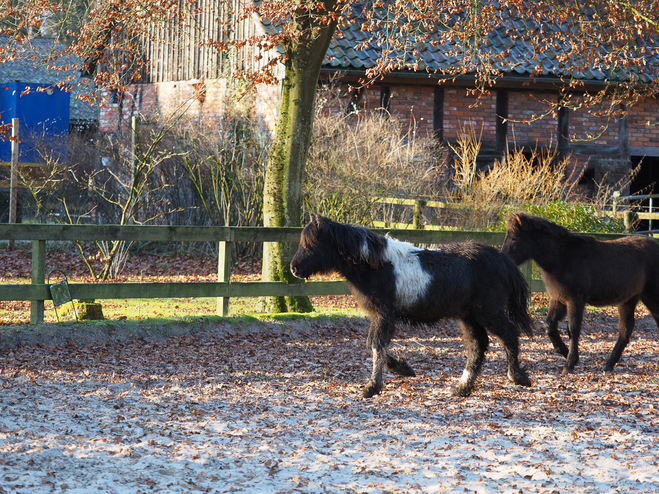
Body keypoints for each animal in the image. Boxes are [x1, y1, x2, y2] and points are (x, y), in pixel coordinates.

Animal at [502, 213, 659, 374]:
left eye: (514, 238)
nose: (503, 259)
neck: (563, 258)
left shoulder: (575, 300)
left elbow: (573, 329)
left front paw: (570, 363)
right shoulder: (558, 299)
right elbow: (549, 326)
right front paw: (565, 352)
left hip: (651, 297)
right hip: (629, 300)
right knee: (625, 329)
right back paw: (609, 364)